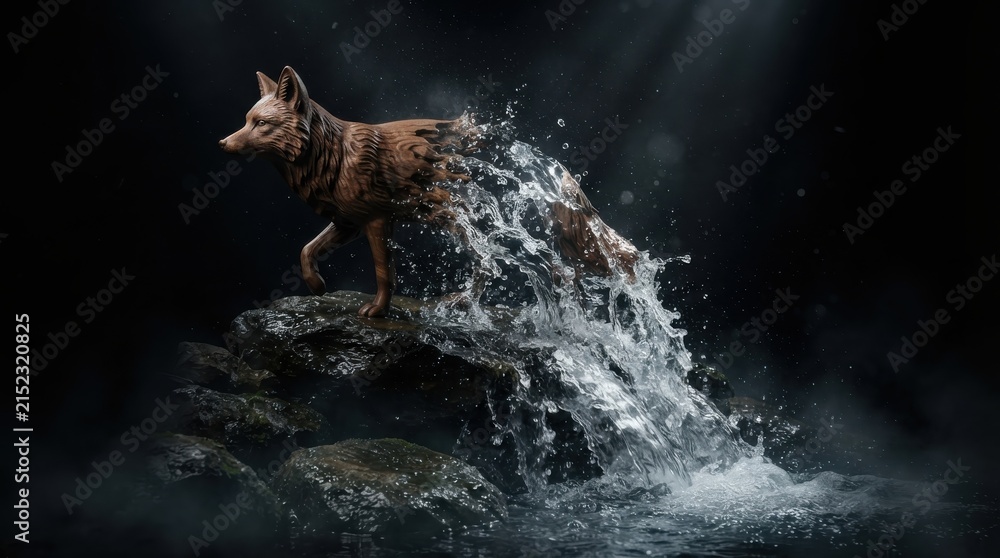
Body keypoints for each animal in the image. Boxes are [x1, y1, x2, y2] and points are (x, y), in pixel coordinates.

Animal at [219, 66, 638, 318]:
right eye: (246, 120)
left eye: (261, 124)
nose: (223, 144)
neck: (332, 155)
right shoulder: (347, 223)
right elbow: (306, 250)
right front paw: (316, 285)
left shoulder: (376, 222)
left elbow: (385, 274)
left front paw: (377, 312)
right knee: (510, 268)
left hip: (473, 224)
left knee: (520, 267)